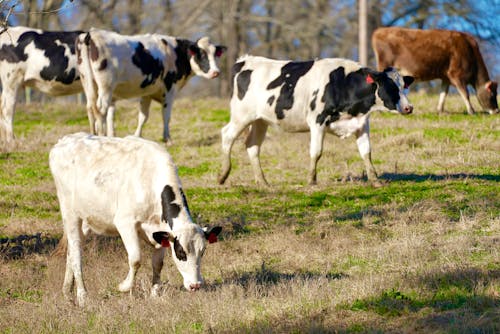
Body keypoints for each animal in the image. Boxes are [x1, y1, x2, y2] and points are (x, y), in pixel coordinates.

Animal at [50, 132, 221, 306]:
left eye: (203, 251)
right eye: (181, 252)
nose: (195, 285)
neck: (151, 182)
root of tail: (65, 140)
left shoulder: (161, 232)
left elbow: (158, 264)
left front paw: (154, 294)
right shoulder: (125, 223)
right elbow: (136, 259)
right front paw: (124, 287)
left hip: (86, 219)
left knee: (71, 251)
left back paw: (67, 291)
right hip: (70, 214)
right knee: (76, 253)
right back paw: (82, 296)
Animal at [219, 54, 414, 185]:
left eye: (404, 86)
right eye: (390, 86)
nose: (408, 107)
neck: (343, 84)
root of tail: (245, 60)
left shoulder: (361, 123)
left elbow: (366, 152)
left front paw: (375, 180)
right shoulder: (317, 121)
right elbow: (316, 152)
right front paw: (311, 180)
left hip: (260, 120)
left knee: (252, 145)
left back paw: (263, 182)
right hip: (241, 116)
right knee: (227, 136)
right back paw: (223, 175)